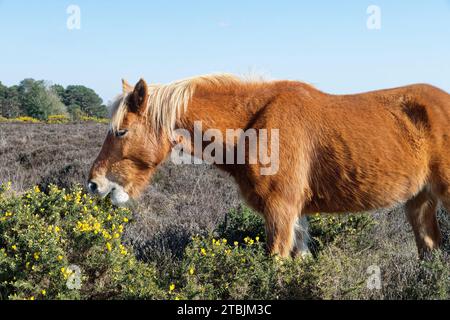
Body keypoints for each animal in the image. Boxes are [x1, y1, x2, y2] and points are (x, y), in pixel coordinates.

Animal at [88, 74, 450, 258]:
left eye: (121, 131)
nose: (94, 184)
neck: (255, 124)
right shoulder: (296, 216)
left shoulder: (281, 211)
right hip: (419, 201)